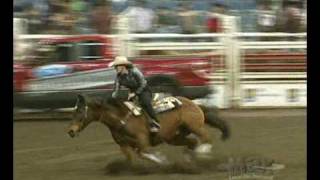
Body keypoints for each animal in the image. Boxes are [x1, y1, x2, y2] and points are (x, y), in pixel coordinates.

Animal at [67, 94, 230, 165]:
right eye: (73, 111)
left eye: (80, 112)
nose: (71, 131)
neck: (121, 119)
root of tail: (195, 104)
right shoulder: (123, 145)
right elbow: (130, 158)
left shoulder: (143, 140)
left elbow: (143, 152)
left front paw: (162, 160)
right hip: (174, 137)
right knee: (192, 142)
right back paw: (189, 159)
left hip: (195, 126)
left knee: (206, 138)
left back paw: (202, 153)